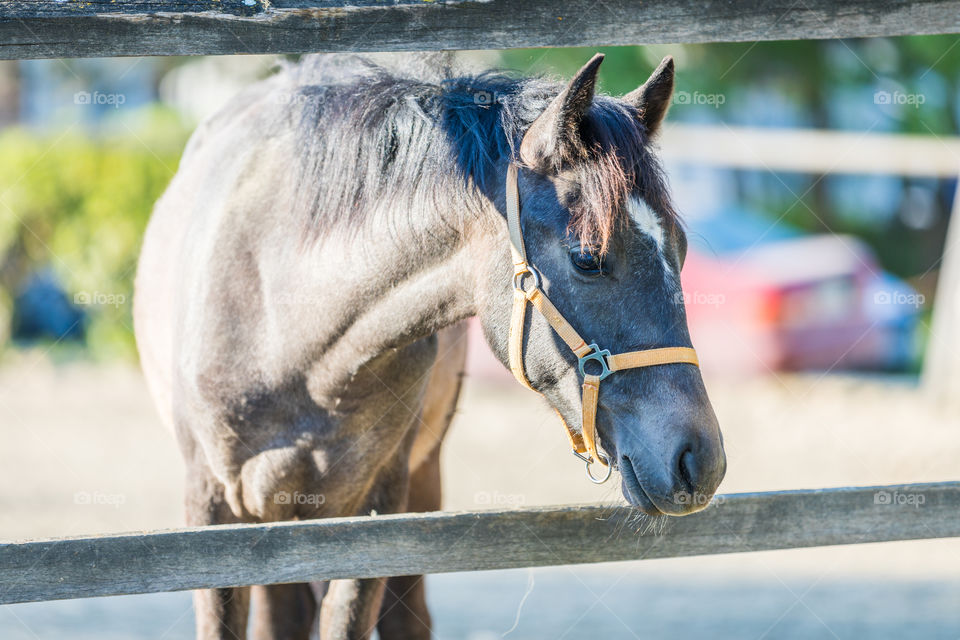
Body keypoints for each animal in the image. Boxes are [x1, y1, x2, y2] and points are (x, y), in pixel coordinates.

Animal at [135, 51, 728, 640]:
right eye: (587, 257)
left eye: (682, 248)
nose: (700, 462)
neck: (284, 326)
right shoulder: (210, 507)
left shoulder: (377, 506)